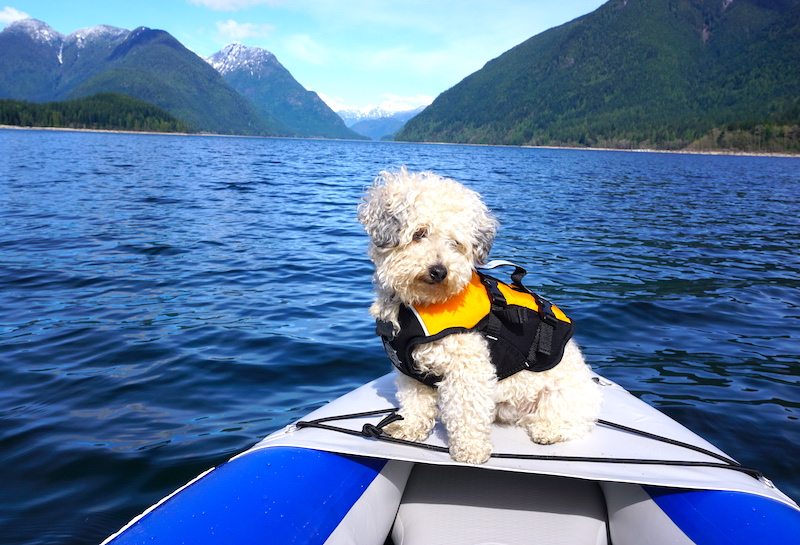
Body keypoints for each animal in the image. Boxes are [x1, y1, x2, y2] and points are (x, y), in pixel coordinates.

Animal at [356, 167, 600, 464]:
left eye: (456, 243)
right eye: (419, 233)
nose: (439, 271)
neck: (415, 304)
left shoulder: (468, 367)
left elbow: (466, 411)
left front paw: (470, 449)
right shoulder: (411, 372)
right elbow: (415, 404)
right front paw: (409, 429)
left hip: (562, 394)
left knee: (575, 421)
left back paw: (548, 430)